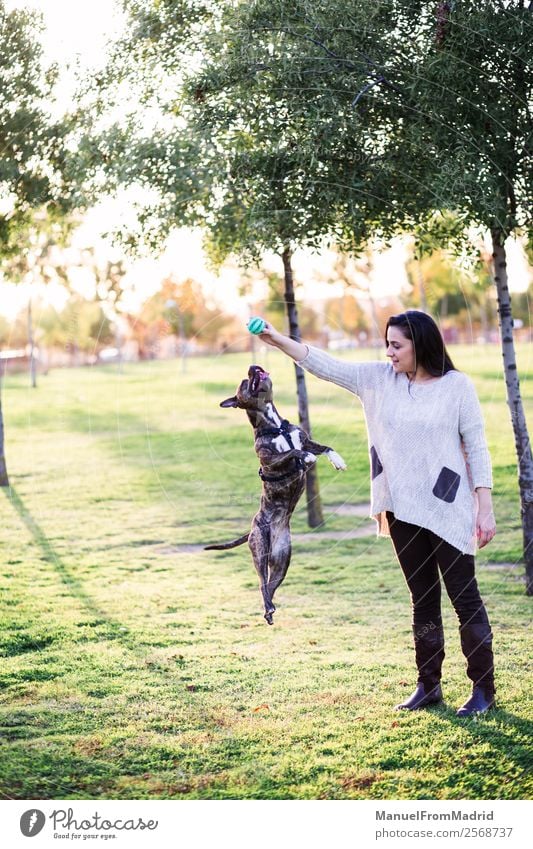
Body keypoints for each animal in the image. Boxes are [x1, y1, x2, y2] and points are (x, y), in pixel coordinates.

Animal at [203, 364, 344, 624]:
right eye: (244, 382)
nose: (252, 367)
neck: (275, 425)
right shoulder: (269, 459)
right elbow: (292, 453)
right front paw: (306, 458)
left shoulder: (305, 439)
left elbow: (323, 446)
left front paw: (337, 459)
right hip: (260, 549)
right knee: (261, 582)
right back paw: (268, 607)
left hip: (282, 561)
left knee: (270, 585)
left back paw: (270, 608)